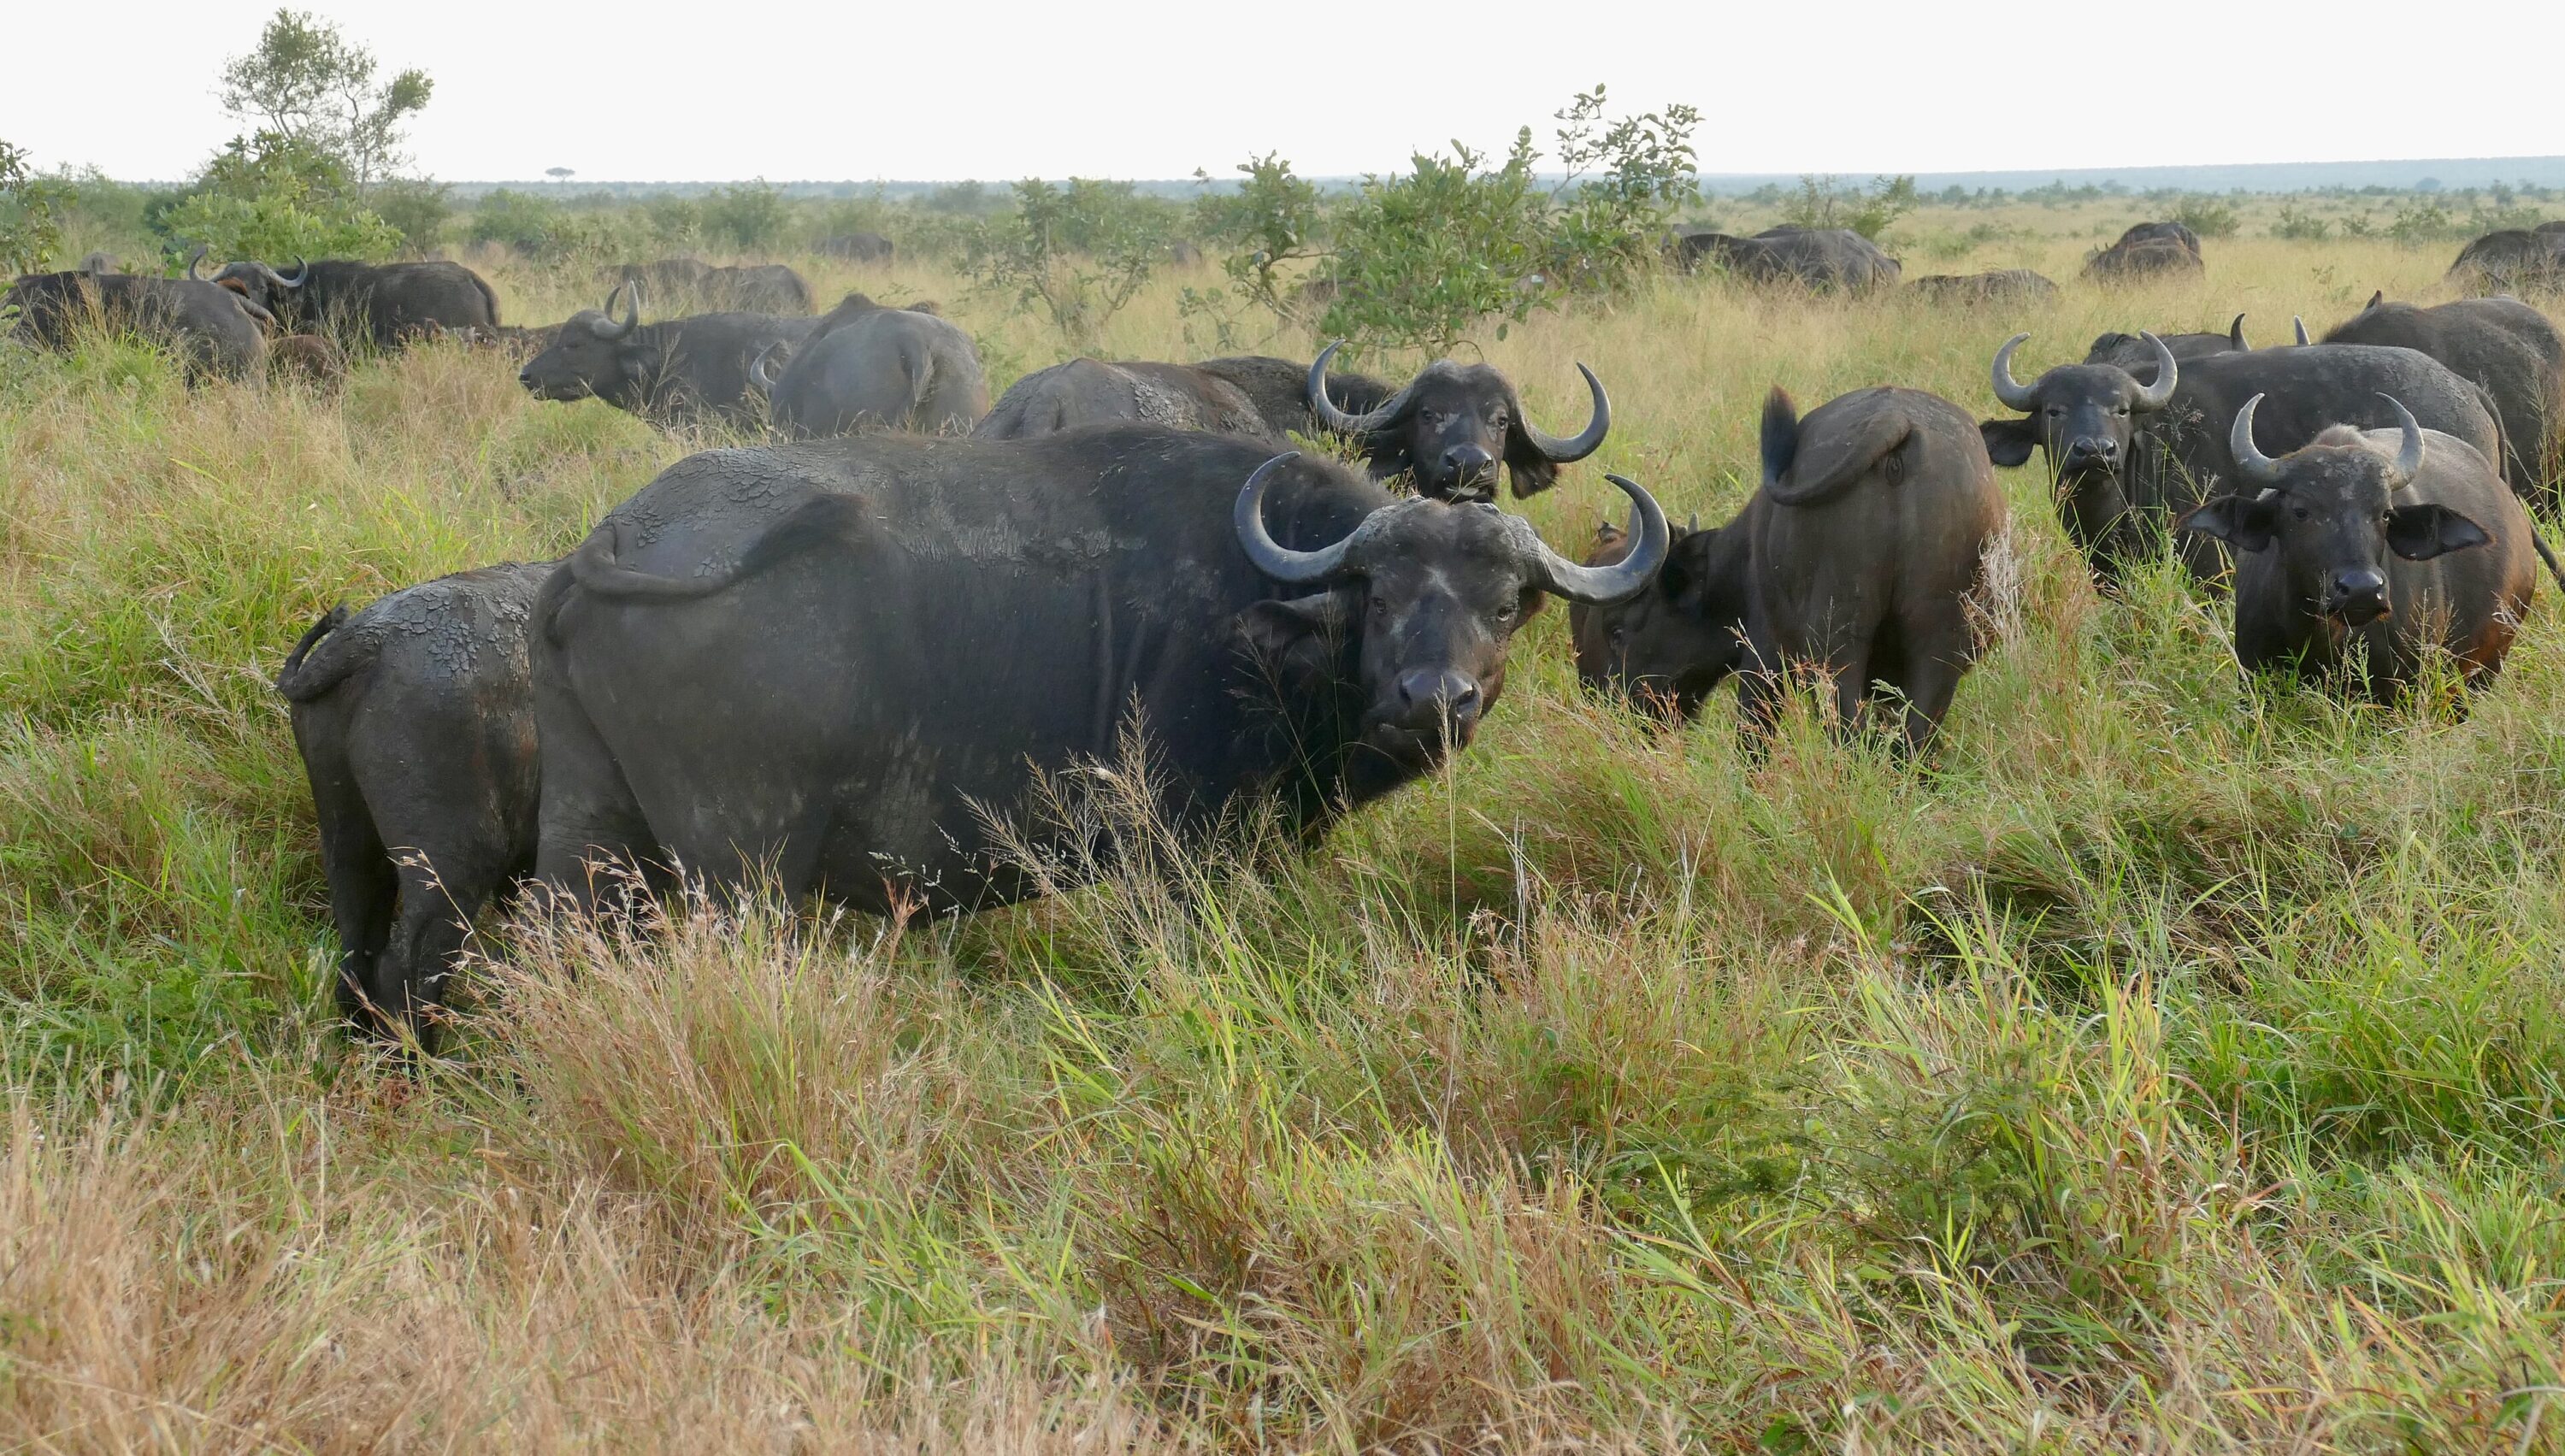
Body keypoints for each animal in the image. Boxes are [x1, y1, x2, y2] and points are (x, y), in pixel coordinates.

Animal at [529, 426, 1668, 913]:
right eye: (1379, 594)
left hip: (587, 842)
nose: (1434, 699)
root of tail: (618, 538)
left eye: (1505, 604)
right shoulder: (1181, 852)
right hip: (743, 867)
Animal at [1572, 386, 2001, 751]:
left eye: (1616, 630)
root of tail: (1895, 421)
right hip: (1937, 647)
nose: (1597, 697)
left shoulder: (1763, 661)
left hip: (1835, 648)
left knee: (1848, 731)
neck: (1740, 562)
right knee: (1912, 740)